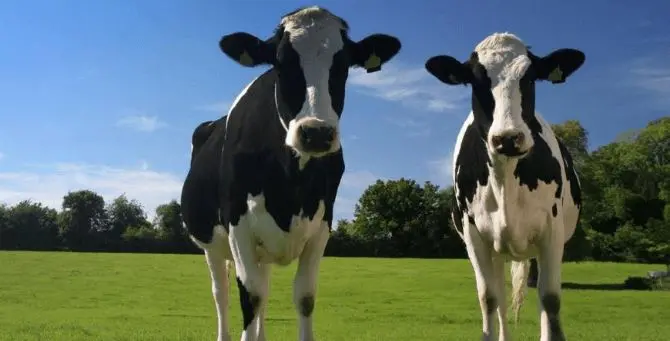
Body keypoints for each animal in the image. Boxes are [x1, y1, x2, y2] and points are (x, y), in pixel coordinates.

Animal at [181, 5, 402, 340]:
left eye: (343, 65)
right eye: (281, 62)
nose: (316, 132)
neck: (291, 183)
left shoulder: (322, 224)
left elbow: (304, 296)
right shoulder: (237, 224)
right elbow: (250, 296)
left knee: (265, 288)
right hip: (212, 244)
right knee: (222, 293)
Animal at [426, 32, 588, 340]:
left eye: (531, 78)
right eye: (475, 80)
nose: (508, 138)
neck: (505, 183)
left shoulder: (552, 229)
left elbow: (550, 300)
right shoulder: (474, 234)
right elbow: (489, 298)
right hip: (497, 251)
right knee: (501, 298)